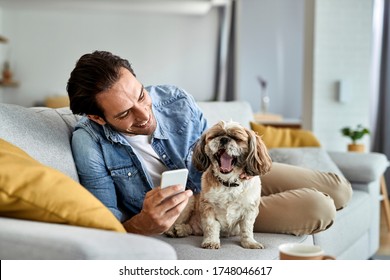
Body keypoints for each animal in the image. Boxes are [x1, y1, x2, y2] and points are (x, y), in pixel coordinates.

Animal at [165, 120, 272, 249]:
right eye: (216, 135)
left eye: (236, 138)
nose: (224, 139)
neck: (228, 183)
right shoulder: (207, 206)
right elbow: (211, 226)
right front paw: (211, 242)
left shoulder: (249, 209)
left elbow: (247, 228)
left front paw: (250, 243)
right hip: (189, 201)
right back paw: (174, 230)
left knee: (191, 229)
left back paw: (182, 230)